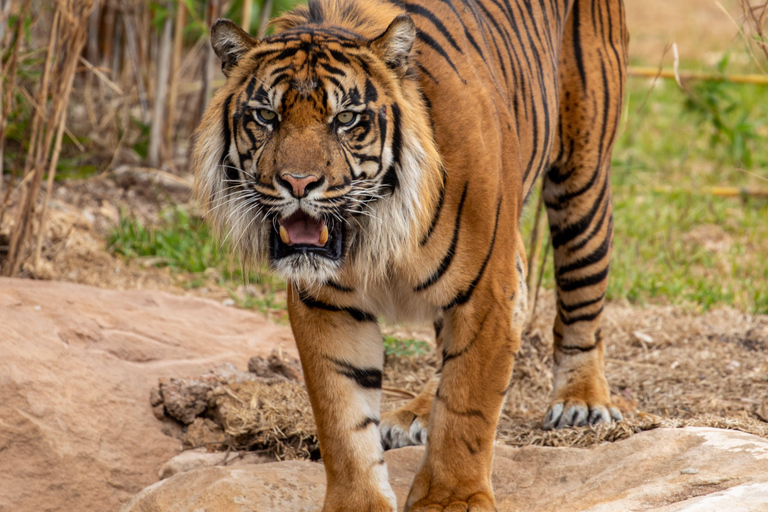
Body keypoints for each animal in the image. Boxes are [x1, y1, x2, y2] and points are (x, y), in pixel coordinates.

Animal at [190, 0, 624, 510]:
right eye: (264, 115)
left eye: (346, 119)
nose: (298, 183)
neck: (375, 229)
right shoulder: (327, 304)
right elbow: (342, 415)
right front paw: (358, 503)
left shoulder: (490, 292)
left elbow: (468, 403)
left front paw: (452, 498)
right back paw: (419, 412)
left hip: (582, 170)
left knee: (582, 290)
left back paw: (581, 401)